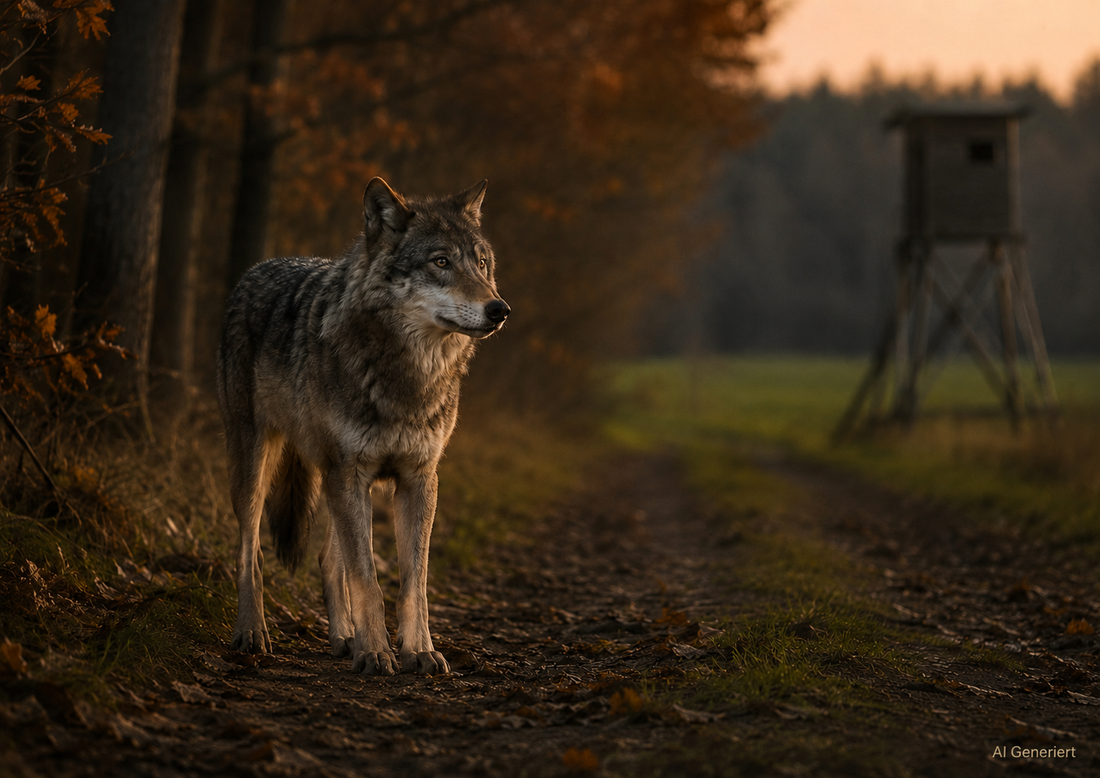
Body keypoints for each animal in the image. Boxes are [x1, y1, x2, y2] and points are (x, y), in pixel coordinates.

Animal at [216, 178, 508, 676]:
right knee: (249, 553)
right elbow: (368, 578)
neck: (409, 377)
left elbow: (413, 582)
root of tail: (259, 268)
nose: (499, 309)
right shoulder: (350, 472)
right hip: (260, 466)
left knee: (327, 559)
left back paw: (343, 638)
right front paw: (376, 653)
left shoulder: (418, 478)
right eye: (441, 262)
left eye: (482, 263)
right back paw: (253, 632)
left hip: (338, 482)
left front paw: (419, 651)